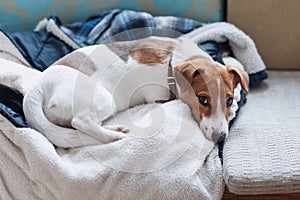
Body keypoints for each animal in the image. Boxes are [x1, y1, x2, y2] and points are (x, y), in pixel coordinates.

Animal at [22, 36, 248, 148]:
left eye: (228, 101)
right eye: (202, 99)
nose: (220, 138)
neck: (172, 63)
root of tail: (36, 89)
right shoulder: (157, 97)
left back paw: (115, 129)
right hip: (104, 99)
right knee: (81, 122)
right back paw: (113, 136)